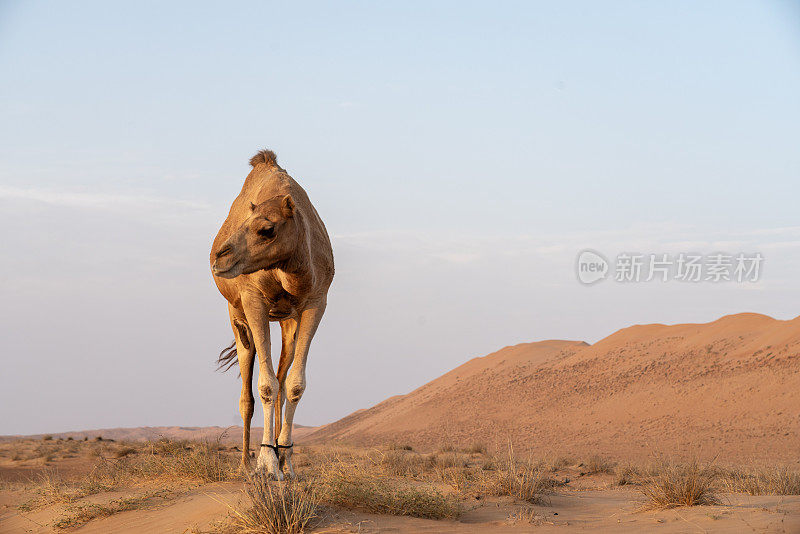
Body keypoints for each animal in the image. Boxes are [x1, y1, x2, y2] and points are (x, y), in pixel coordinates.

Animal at [211, 151, 332, 482]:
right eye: (244, 222)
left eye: (267, 229)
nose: (220, 257)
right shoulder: (254, 300)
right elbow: (264, 387)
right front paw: (266, 463)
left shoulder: (316, 302)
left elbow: (294, 385)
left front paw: (286, 462)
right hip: (237, 314)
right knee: (247, 393)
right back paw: (244, 464)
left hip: (288, 320)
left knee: (281, 375)